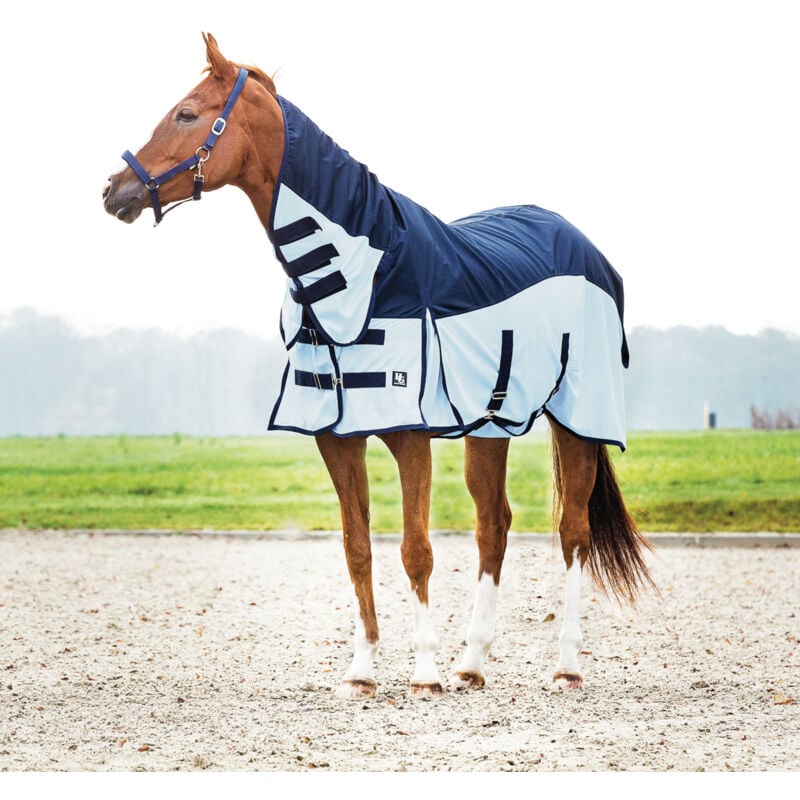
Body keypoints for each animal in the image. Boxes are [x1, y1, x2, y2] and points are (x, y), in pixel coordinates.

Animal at [103, 33, 655, 699]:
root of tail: (583, 245)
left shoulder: (409, 435)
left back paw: (565, 665)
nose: (113, 190)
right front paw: (363, 671)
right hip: (492, 426)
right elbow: (357, 547)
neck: (364, 273)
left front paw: (423, 673)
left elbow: (416, 549)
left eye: (186, 113)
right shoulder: (337, 437)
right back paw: (472, 662)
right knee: (493, 525)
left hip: (577, 416)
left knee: (572, 530)